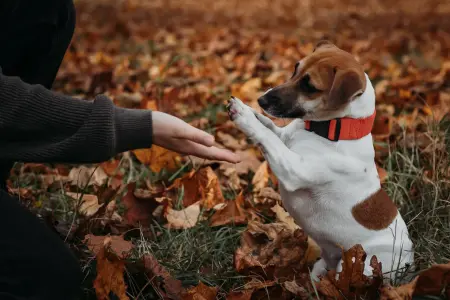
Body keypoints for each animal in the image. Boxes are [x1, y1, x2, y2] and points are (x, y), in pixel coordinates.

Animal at [229, 39, 414, 282]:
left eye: (309, 86)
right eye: (295, 70)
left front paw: (244, 116)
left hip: (360, 263)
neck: (333, 130)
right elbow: (270, 128)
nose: (262, 100)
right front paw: (251, 111)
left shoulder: (294, 169)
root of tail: (411, 261)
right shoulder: (286, 138)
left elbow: (269, 137)